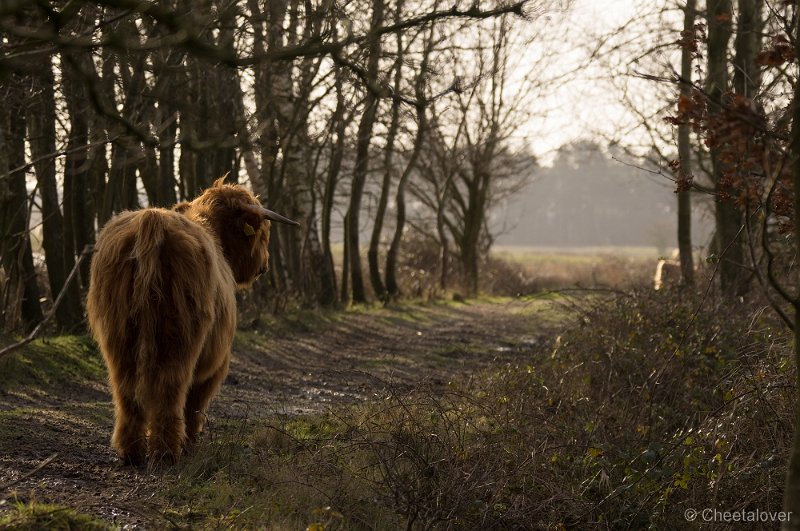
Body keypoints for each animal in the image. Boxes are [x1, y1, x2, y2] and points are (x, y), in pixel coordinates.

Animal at [87, 180, 298, 466]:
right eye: (262, 234)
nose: (263, 265)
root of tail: (153, 220)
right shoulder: (216, 363)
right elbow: (196, 402)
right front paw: (191, 442)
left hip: (118, 336)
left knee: (126, 392)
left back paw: (130, 452)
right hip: (180, 337)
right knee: (171, 390)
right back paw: (167, 452)